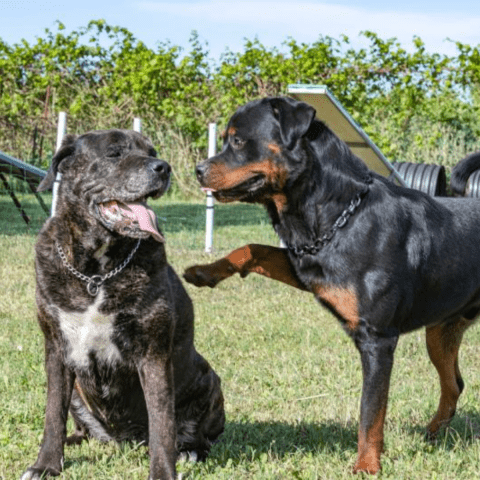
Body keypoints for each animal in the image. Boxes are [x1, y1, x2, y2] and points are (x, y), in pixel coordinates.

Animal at [22, 128, 225, 480]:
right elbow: (52, 414)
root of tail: (124, 439)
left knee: (197, 435)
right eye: (114, 153)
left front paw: (162, 472)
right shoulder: (57, 350)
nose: (163, 167)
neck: (97, 271)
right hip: (79, 394)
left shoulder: (153, 355)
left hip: (209, 378)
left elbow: (162, 423)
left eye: (152, 152)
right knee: (78, 426)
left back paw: (189, 451)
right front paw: (46, 465)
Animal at [185, 96, 480, 472]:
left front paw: (367, 465)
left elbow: (370, 412)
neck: (341, 214)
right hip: (441, 331)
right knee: (454, 384)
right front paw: (204, 271)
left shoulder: (377, 339)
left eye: (237, 140)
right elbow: (253, 248)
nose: (198, 170)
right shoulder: (307, 266)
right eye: (223, 140)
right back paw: (432, 433)